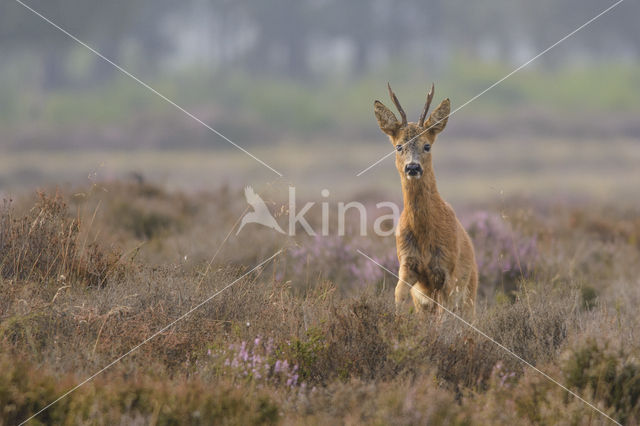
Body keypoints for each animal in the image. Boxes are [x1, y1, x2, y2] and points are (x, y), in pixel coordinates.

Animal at [376, 83, 476, 318]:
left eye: (427, 146)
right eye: (399, 146)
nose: (412, 167)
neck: (424, 235)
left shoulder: (447, 271)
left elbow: (443, 316)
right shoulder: (407, 263)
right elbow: (397, 295)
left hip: (470, 294)